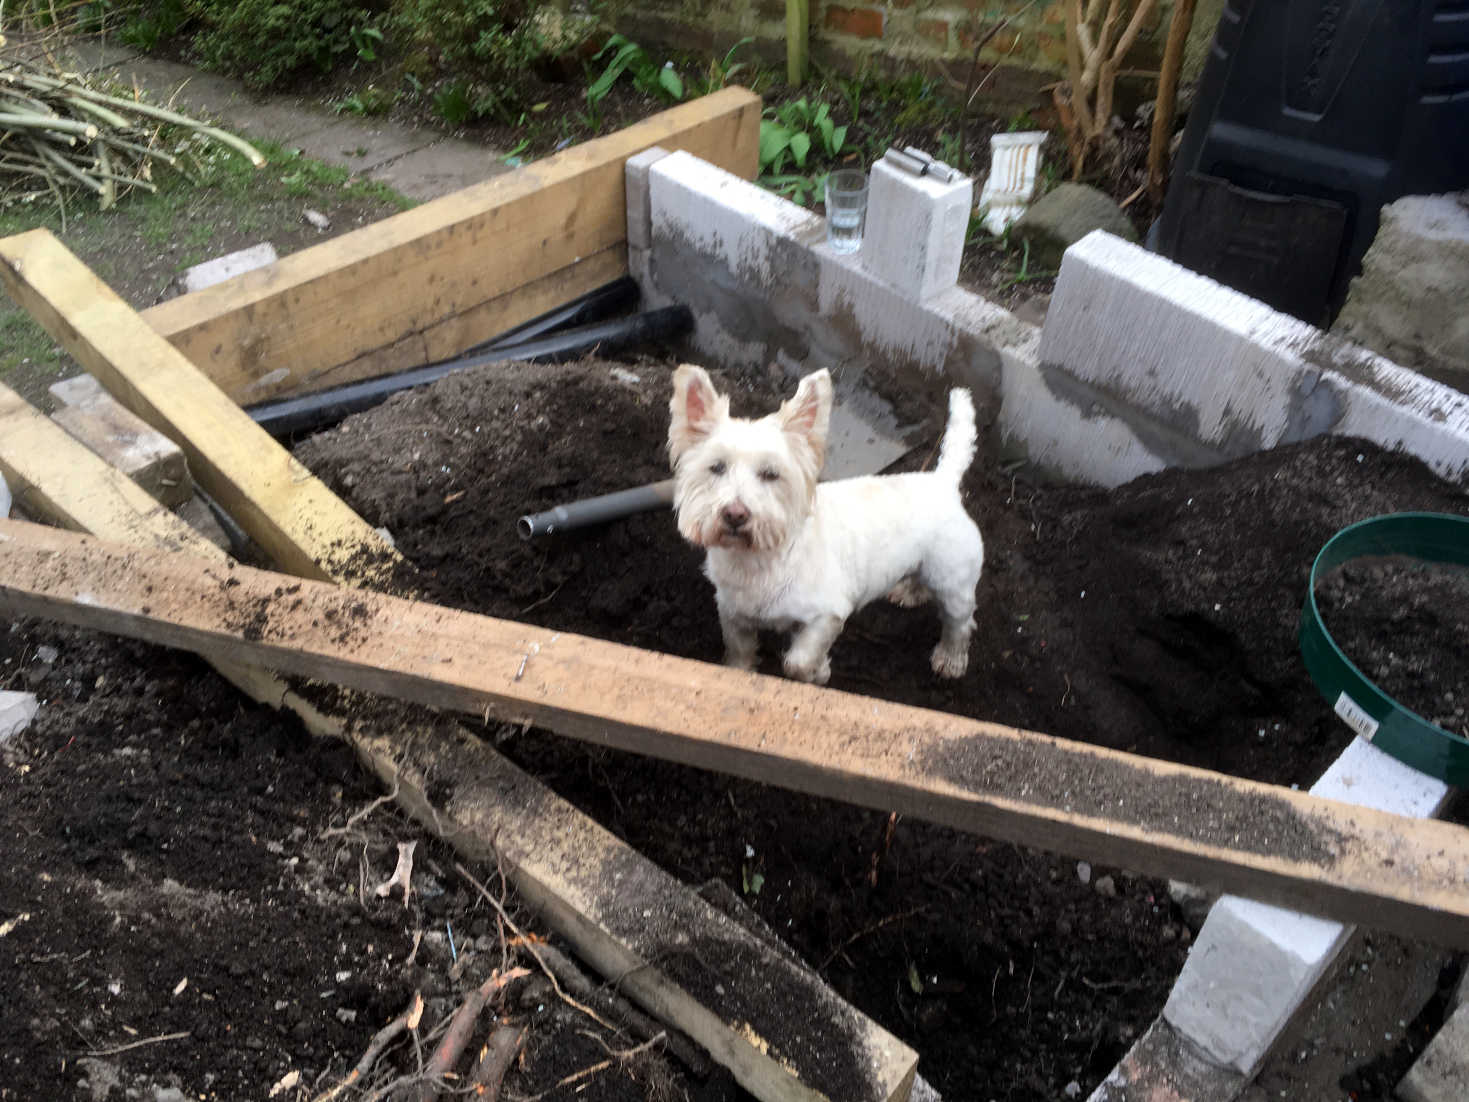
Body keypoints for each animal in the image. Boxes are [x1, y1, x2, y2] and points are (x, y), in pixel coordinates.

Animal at [672, 367, 981, 687]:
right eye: (716, 467)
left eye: (771, 474)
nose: (735, 514)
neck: (758, 558)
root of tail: (942, 482)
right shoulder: (733, 613)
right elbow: (738, 652)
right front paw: (739, 669)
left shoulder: (828, 614)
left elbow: (799, 661)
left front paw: (819, 672)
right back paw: (909, 592)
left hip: (954, 578)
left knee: (960, 622)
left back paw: (951, 659)